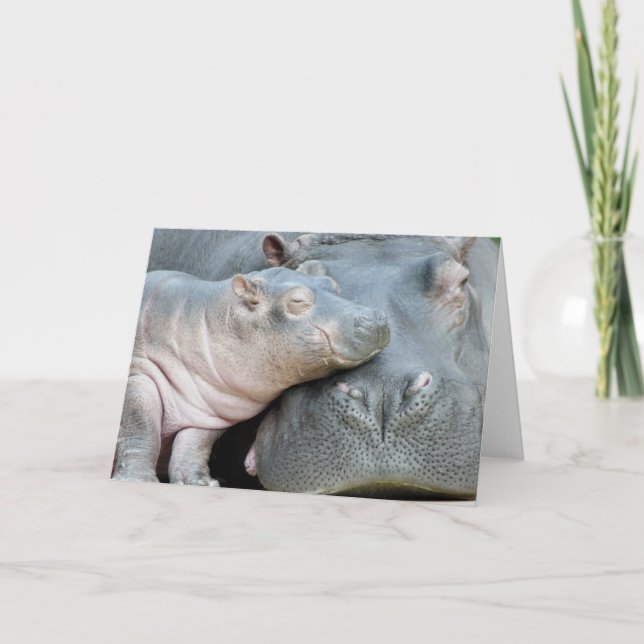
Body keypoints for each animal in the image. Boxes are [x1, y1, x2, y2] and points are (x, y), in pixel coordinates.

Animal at [112, 265, 390, 486]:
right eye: (297, 301)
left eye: (333, 285)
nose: (375, 318)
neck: (207, 316)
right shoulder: (139, 375)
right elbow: (141, 429)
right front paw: (137, 480)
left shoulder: (210, 407)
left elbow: (194, 445)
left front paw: (202, 483)